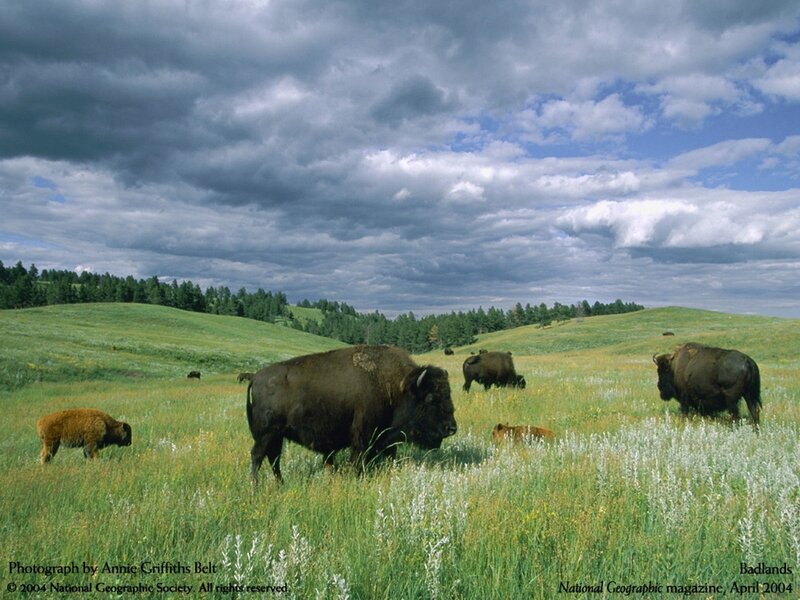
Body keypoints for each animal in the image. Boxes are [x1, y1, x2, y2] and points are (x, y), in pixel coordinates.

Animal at [246, 345, 457, 484]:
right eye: (431, 398)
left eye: (448, 394)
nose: (451, 428)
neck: (396, 387)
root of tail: (255, 377)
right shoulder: (362, 437)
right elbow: (358, 460)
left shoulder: (385, 440)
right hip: (266, 435)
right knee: (258, 456)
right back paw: (256, 487)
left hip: (277, 436)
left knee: (273, 459)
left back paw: (280, 484)